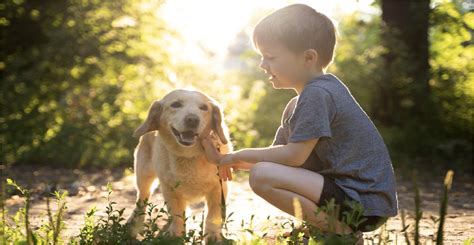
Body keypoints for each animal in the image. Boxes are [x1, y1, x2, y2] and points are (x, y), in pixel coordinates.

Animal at [127, 89, 232, 240]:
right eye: (176, 104)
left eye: (204, 108)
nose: (193, 120)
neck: (189, 155)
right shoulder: (170, 189)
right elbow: (176, 215)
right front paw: (176, 234)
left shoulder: (219, 188)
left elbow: (213, 215)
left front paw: (213, 235)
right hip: (143, 175)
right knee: (142, 198)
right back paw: (135, 221)